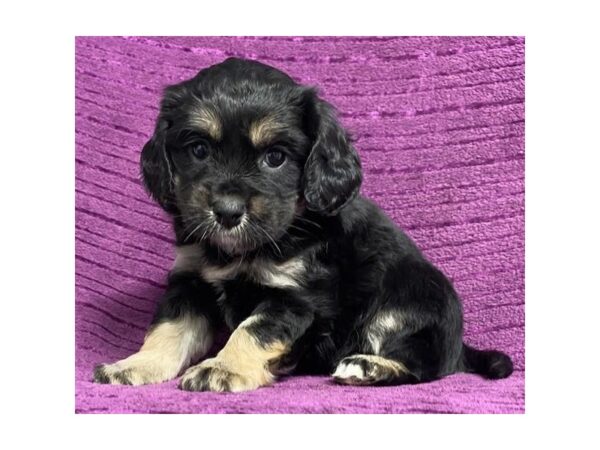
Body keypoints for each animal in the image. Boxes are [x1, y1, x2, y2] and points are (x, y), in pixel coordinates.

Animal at [92, 58, 510, 392]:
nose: (227, 212)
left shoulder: (294, 297)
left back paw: (367, 367)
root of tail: (461, 346)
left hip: (404, 303)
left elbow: (251, 331)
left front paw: (223, 368)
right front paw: (134, 365)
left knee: (424, 366)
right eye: (198, 150)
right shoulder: (190, 282)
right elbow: (167, 330)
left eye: (276, 157)